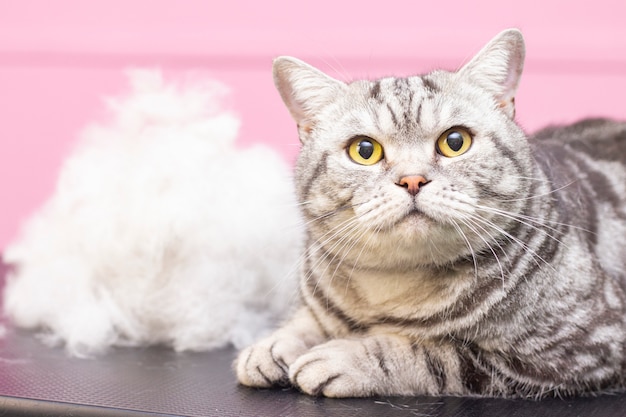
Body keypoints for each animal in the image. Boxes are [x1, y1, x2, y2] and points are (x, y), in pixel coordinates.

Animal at [233, 28, 624, 396]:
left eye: (455, 142)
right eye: (364, 150)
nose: (412, 179)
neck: (390, 285)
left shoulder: (579, 348)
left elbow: (430, 353)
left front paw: (344, 355)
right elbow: (309, 318)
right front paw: (273, 344)